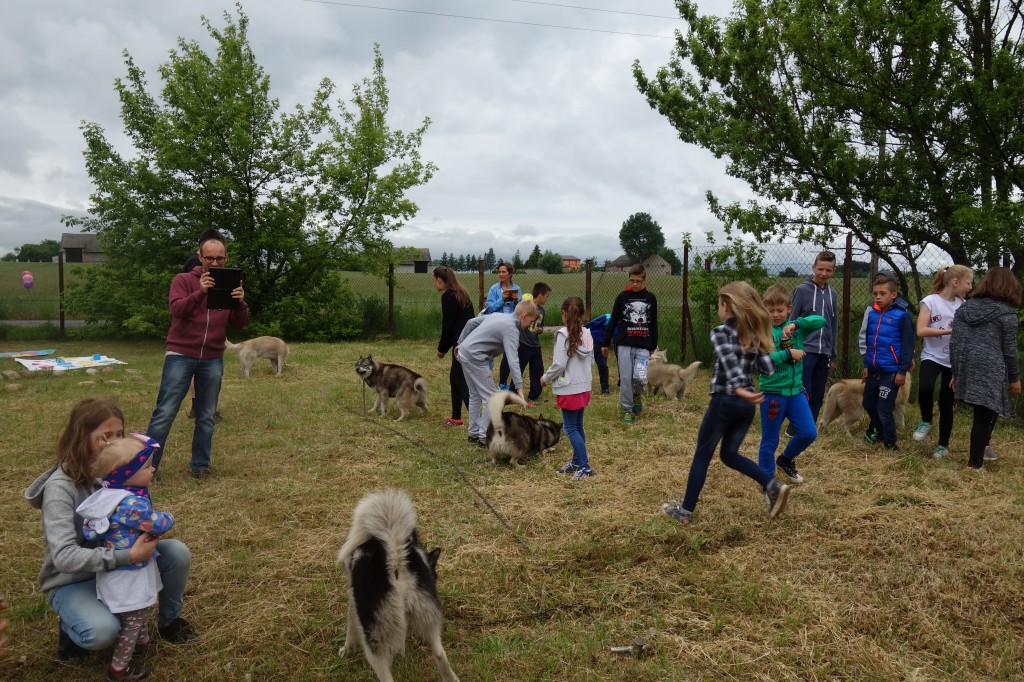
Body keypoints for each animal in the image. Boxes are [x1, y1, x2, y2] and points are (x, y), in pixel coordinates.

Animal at [335, 489, 460, 679]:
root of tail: (395, 556)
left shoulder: (353, 599)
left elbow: (351, 629)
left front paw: (347, 651)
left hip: (374, 641)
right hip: (429, 619)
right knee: (440, 654)